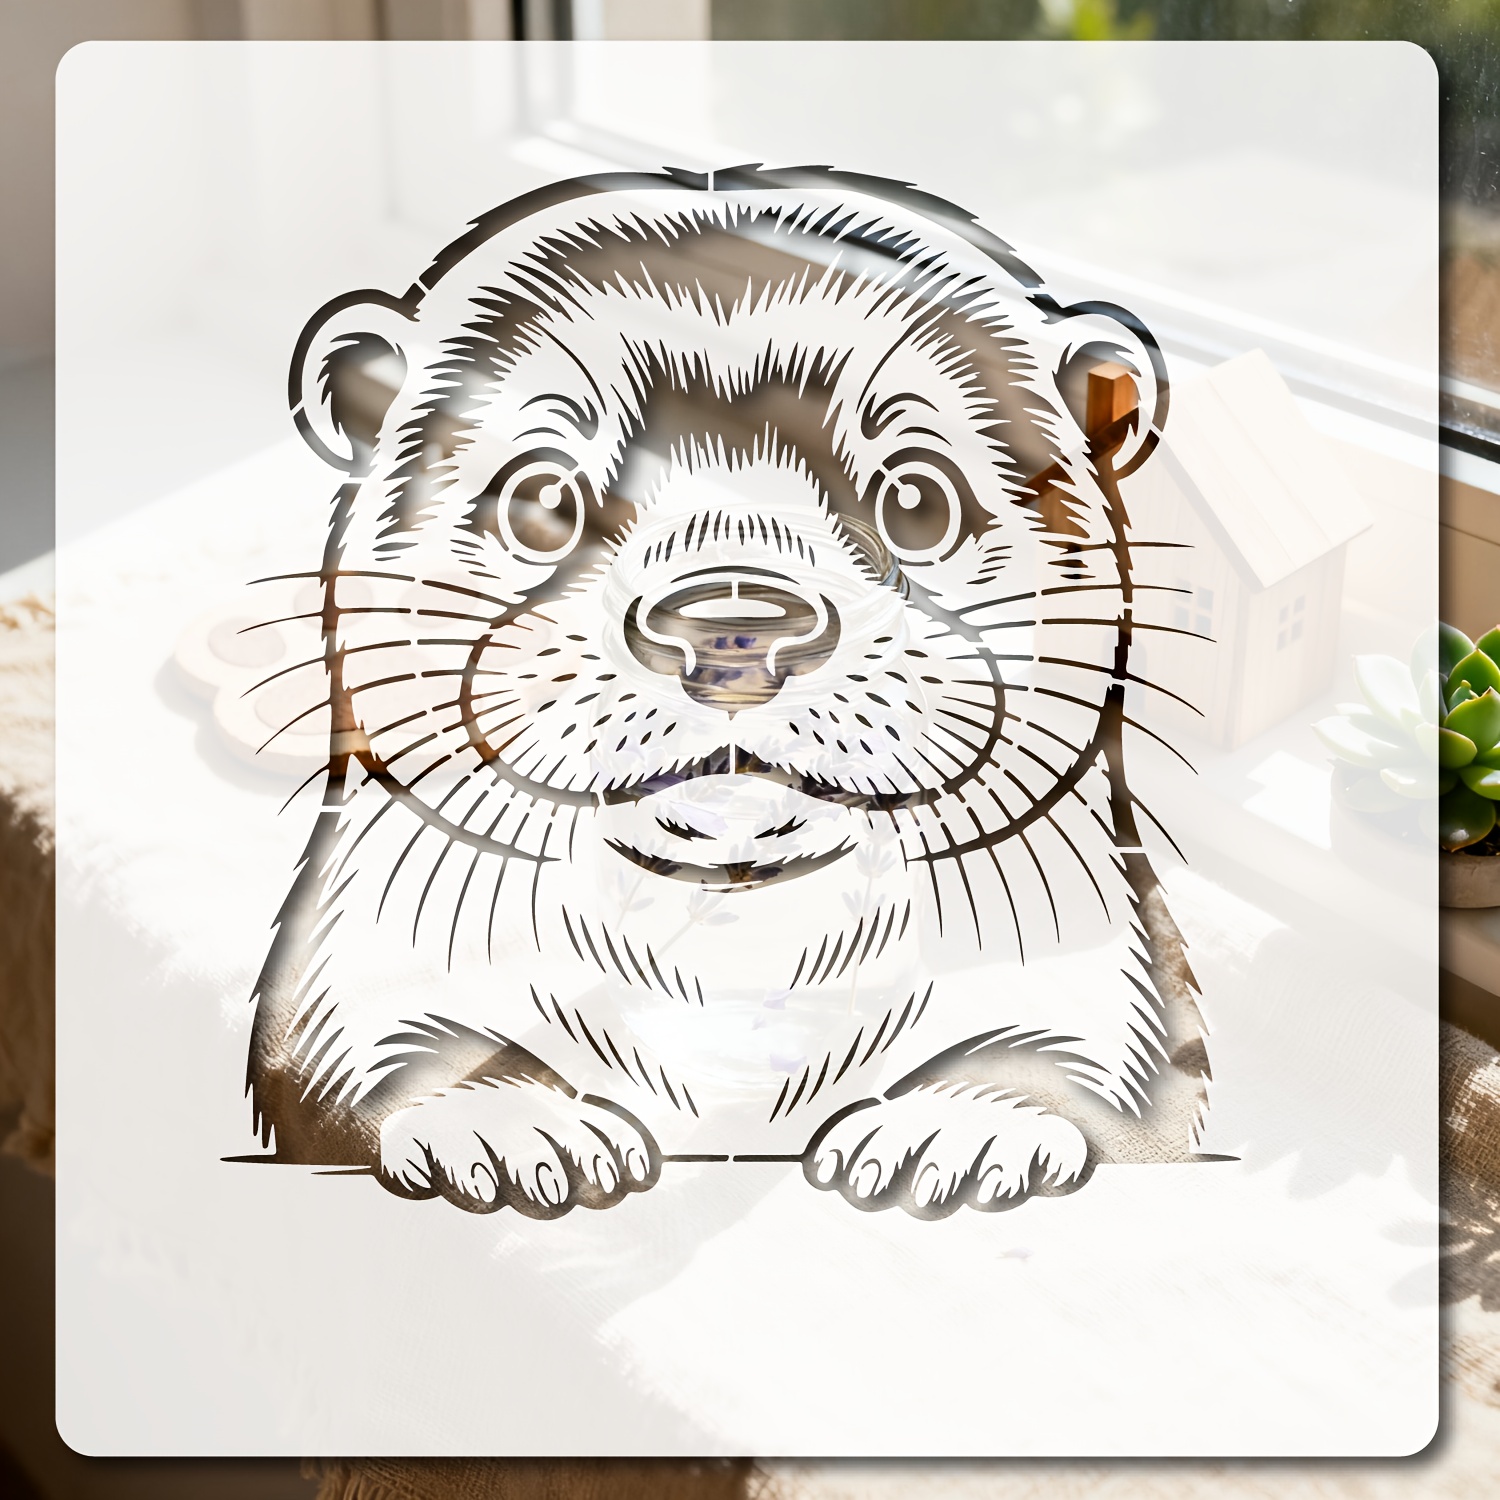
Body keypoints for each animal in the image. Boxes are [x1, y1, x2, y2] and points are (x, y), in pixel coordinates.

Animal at [246, 165, 1209, 1220]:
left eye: (917, 499)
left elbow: (1083, 1069)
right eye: (541, 499)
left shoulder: (1112, 971)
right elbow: (385, 1052)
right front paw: (509, 1123)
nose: (732, 626)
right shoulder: (351, 966)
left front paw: (959, 1126)